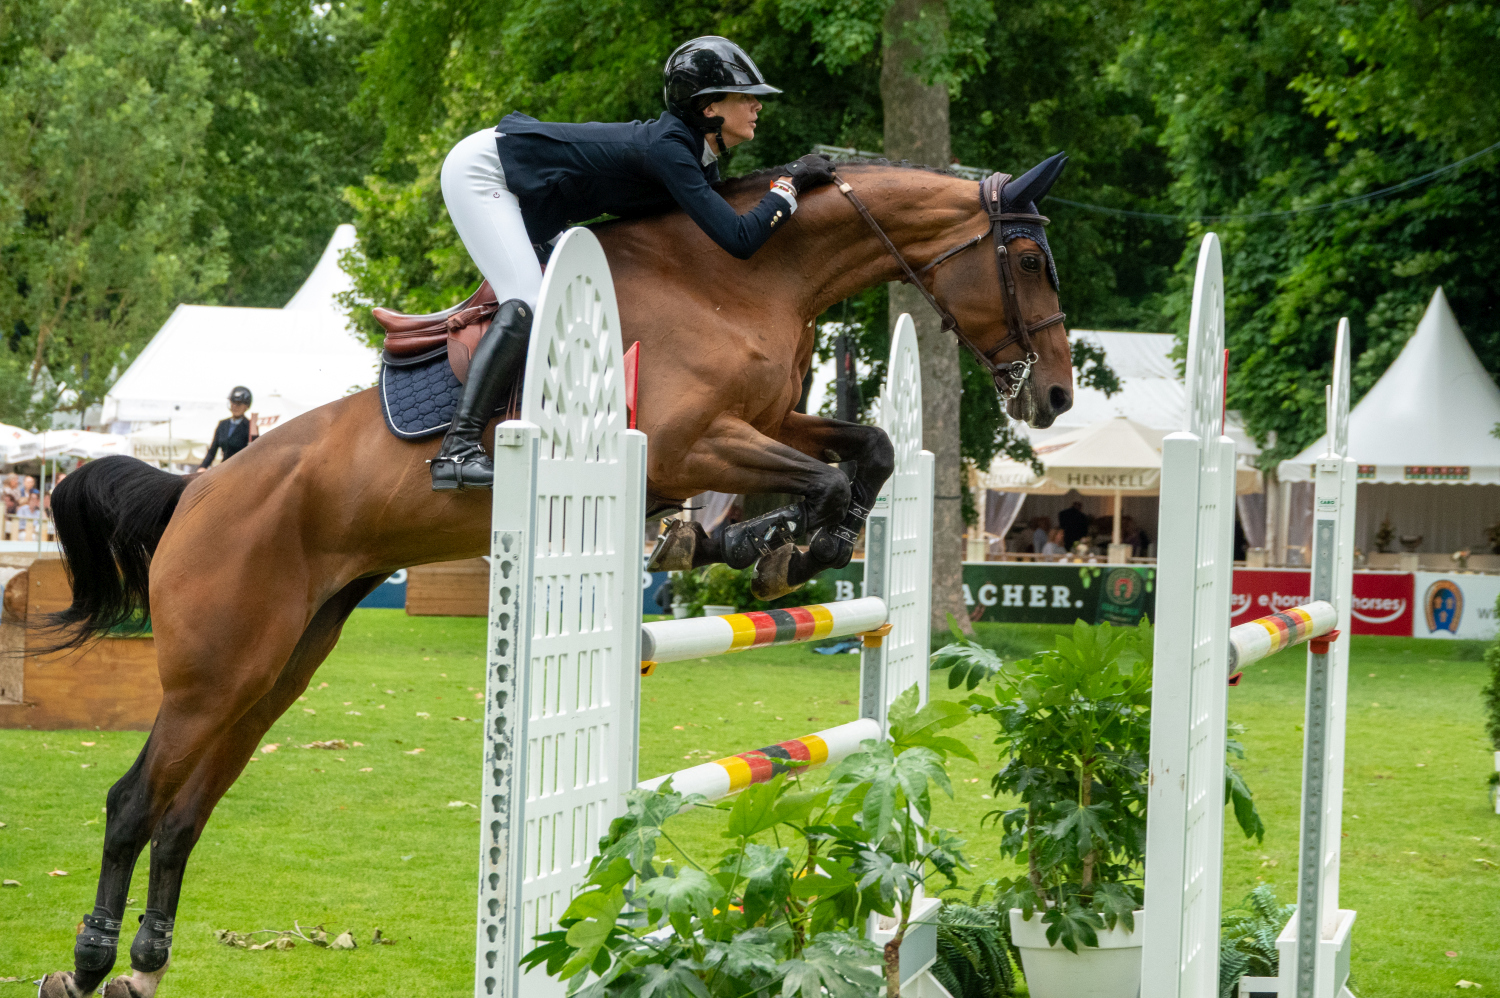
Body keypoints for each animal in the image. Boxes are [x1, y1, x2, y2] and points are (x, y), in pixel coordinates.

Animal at [38, 157, 1073, 998]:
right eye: (1028, 259)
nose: (1055, 395)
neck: (740, 275)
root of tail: (195, 492)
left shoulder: (768, 419)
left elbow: (872, 449)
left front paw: (777, 544)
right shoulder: (693, 443)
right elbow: (820, 474)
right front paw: (769, 546)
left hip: (277, 668)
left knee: (185, 812)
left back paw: (146, 961)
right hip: (213, 674)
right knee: (135, 804)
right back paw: (85, 962)